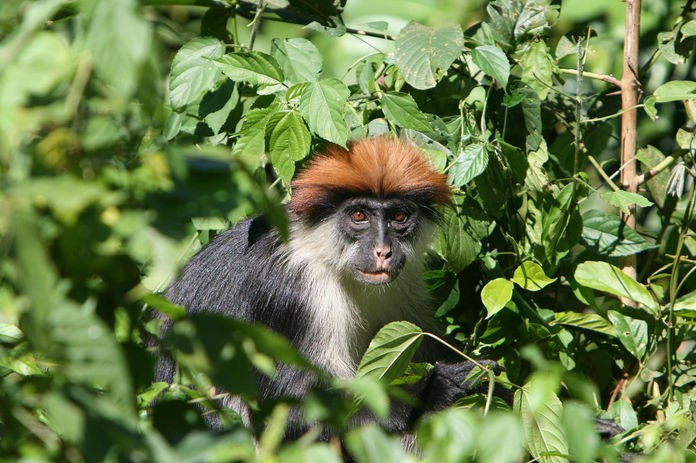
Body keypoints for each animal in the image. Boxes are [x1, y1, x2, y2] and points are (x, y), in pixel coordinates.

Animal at [155, 136, 504, 439]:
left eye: (399, 216)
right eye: (359, 215)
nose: (383, 250)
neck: (326, 255)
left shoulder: (405, 282)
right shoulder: (294, 292)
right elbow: (291, 412)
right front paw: (431, 391)